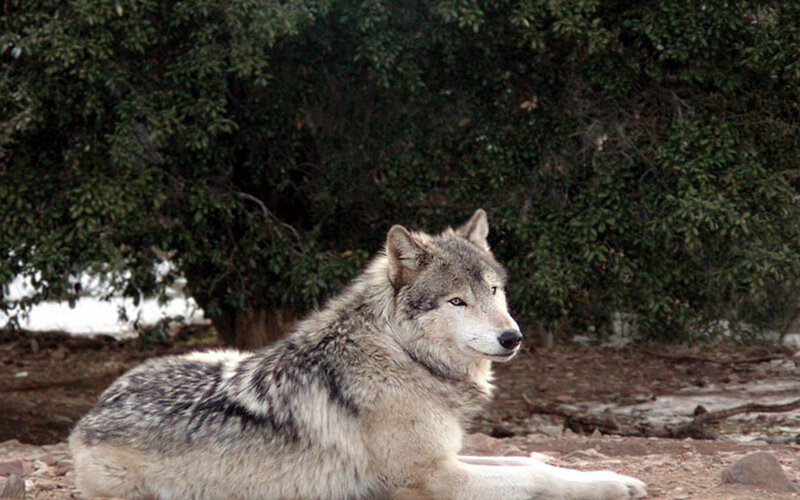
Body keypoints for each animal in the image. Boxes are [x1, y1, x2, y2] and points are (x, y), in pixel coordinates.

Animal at [70, 209, 647, 500]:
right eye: (456, 301)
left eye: (493, 291)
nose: (512, 338)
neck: (402, 357)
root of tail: (91, 412)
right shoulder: (432, 475)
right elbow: (535, 475)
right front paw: (612, 485)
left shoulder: (446, 456)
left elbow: (530, 457)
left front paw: (607, 479)